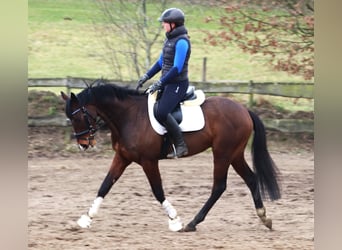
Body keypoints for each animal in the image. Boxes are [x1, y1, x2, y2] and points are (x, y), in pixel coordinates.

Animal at [61, 79, 280, 232]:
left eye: (78, 117)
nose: (83, 145)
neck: (128, 116)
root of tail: (244, 109)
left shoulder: (148, 161)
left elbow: (158, 191)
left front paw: (175, 220)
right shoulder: (122, 158)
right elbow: (105, 186)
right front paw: (85, 219)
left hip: (222, 153)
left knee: (219, 186)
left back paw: (192, 223)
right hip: (234, 154)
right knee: (251, 179)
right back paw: (264, 217)